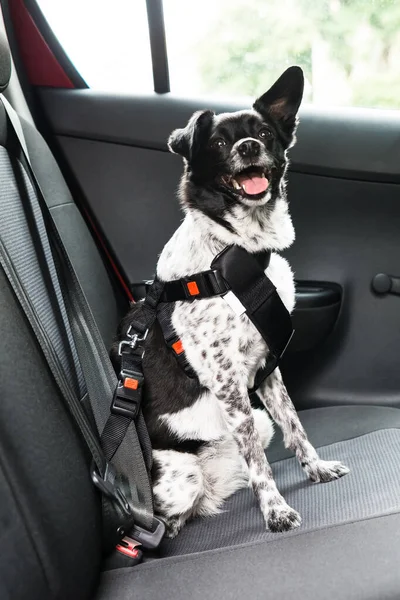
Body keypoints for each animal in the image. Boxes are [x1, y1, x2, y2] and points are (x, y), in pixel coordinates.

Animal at [111, 65, 346, 540]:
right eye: (218, 143)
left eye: (265, 133)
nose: (249, 146)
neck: (237, 249)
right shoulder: (227, 382)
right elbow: (259, 463)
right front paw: (275, 511)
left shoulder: (267, 368)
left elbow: (296, 426)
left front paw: (315, 469)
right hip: (184, 476)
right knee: (172, 514)